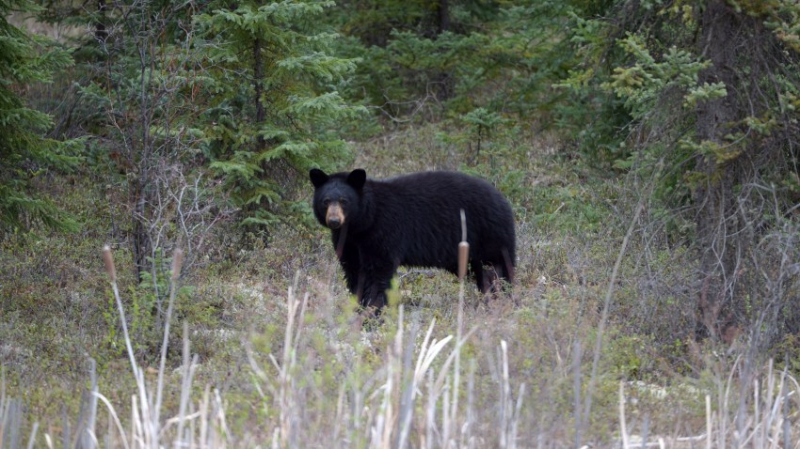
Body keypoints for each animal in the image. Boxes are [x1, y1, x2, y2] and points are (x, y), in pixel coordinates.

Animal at [310, 167, 516, 312]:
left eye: (344, 201)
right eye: (326, 201)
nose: (334, 221)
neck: (362, 223)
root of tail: (502, 198)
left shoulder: (383, 232)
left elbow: (378, 273)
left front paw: (373, 311)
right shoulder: (349, 242)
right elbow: (353, 271)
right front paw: (358, 306)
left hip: (489, 235)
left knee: (501, 268)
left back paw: (504, 298)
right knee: (484, 273)